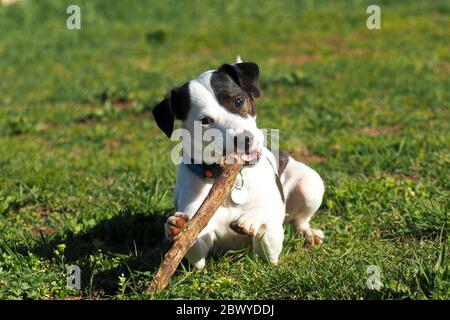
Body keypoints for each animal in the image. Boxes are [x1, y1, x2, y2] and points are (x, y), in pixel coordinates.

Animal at [153, 58, 326, 268]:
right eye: (204, 120)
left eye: (238, 101)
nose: (244, 139)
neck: (231, 180)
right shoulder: (199, 242)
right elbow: (190, 247)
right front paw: (176, 229)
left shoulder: (272, 246)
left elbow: (265, 221)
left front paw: (252, 217)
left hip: (310, 185)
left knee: (300, 220)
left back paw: (309, 233)